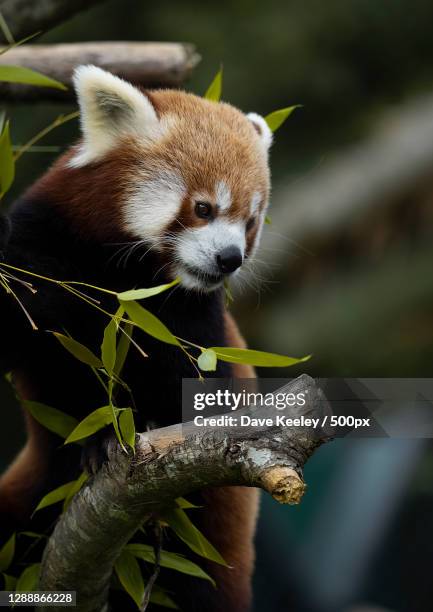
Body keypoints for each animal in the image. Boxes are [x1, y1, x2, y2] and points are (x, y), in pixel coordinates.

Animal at [0, 64, 274, 608]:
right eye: (204, 208)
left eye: (250, 222)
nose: (230, 258)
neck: (126, 278)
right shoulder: (41, 248)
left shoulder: (192, 322)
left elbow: (191, 394)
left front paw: (120, 432)